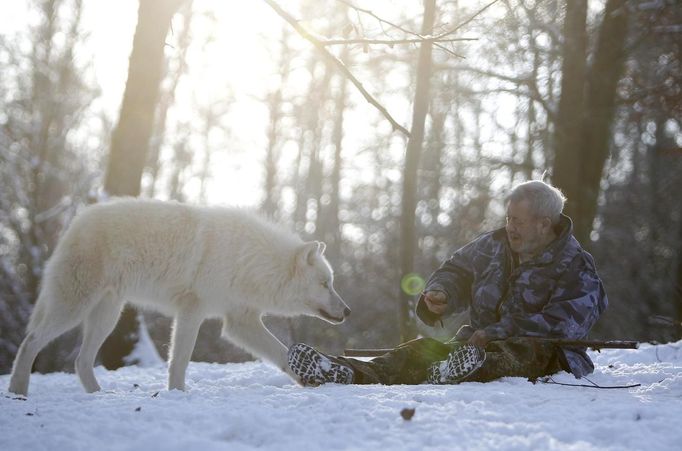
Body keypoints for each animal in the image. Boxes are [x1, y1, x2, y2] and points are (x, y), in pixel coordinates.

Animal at [9, 200, 350, 396]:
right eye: (325, 283)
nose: (347, 311)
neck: (249, 259)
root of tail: (76, 222)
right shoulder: (193, 311)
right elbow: (180, 361)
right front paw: (177, 394)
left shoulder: (239, 322)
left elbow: (280, 354)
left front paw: (308, 379)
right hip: (74, 307)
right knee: (30, 342)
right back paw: (17, 391)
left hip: (106, 316)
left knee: (80, 361)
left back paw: (98, 395)